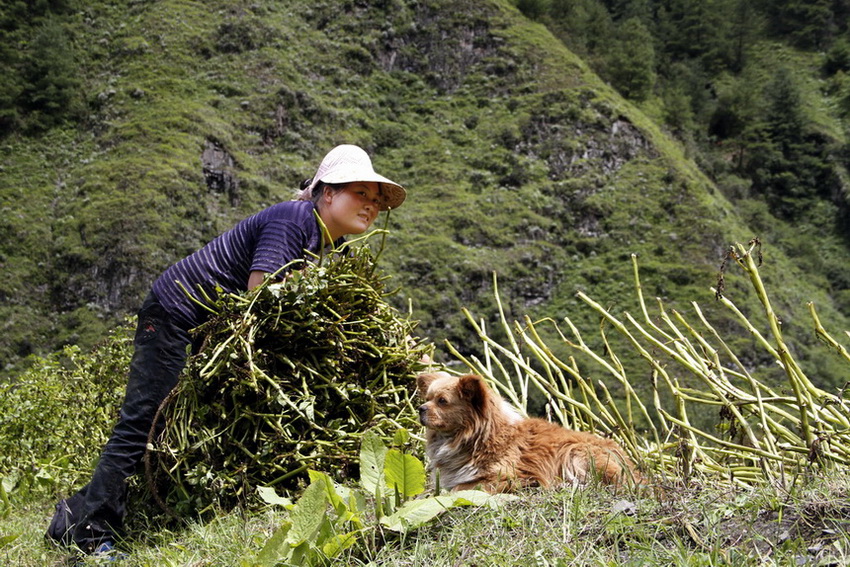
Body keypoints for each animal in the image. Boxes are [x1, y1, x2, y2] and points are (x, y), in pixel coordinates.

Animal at [414, 372, 640, 492]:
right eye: (428, 399)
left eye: (442, 401)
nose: (420, 408)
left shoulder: (511, 476)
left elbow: (460, 487)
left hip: (575, 453)